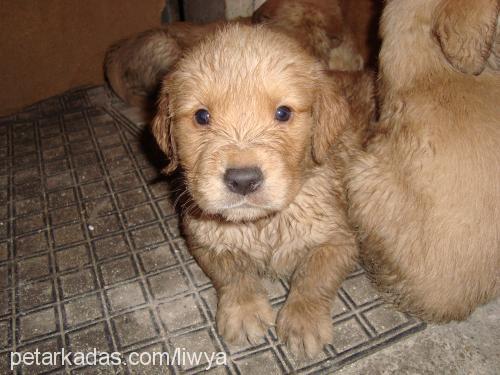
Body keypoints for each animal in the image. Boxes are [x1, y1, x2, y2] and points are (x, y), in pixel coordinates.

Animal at [152, 25, 376, 360]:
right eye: (202, 117)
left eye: (283, 113)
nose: (243, 180)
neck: (262, 224)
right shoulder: (203, 237)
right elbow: (233, 274)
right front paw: (244, 310)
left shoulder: (340, 238)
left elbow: (314, 276)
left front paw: (303, 320)